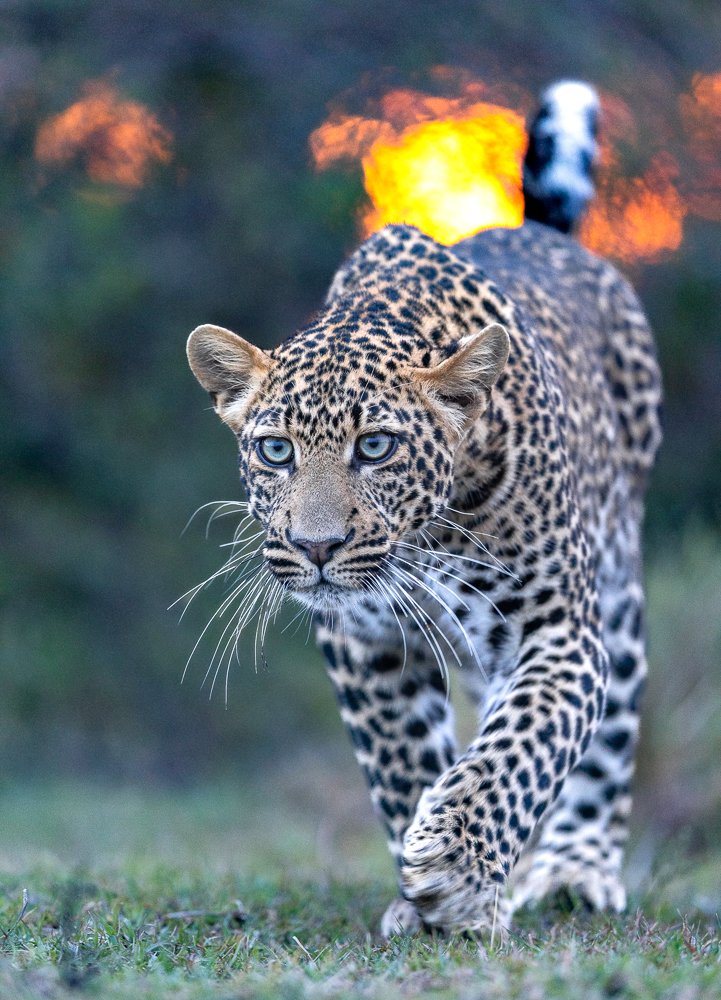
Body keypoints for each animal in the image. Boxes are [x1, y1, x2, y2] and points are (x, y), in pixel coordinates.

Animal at [184, 81, 662, 940]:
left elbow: (523, 744)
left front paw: (457, 869)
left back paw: (575, 871)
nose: (315, 547)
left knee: (608, 740)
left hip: (616, 592)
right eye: (275, 451)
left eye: (375, 447)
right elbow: (403, 758)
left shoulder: (556, 630)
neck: (424, 538)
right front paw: (429, 889)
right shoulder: (362, 639)